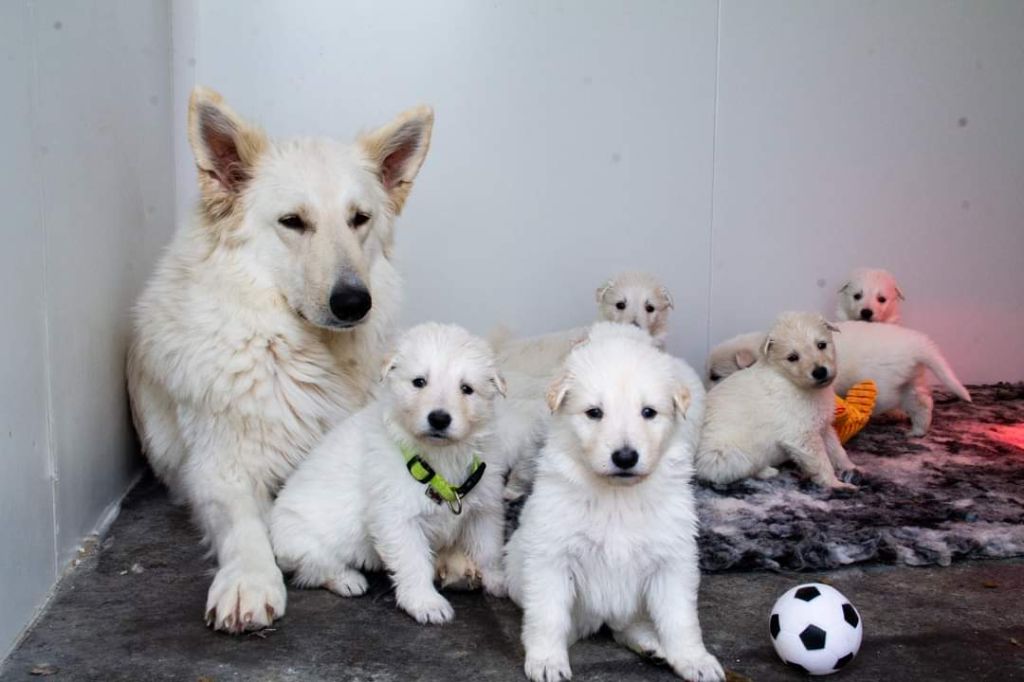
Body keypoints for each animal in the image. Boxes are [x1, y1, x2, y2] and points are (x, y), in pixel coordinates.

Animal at [128, 87, 432, 630]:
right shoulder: (219, 471)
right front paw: (250, 581)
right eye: (293, 222)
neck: (297, 351)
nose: (354, 303)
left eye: (359, 219)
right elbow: (247, 526)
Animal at [272, 321, 507, 622]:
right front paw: (425, 602)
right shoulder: (397, 518)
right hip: (302, 542)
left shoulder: (484, 509)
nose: (439, 419)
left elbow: (488, 548)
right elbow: (414, 563)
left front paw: (498, 580)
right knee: (314, 570)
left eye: (467, 389)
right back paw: (347, 580)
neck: (439, 458)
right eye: (419, 382)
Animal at [505, 323, 720, 679]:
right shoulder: (553, 556)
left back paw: (652, 646)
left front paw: (695, 660)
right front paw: (547, 660)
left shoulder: (672, 560)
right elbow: (548, 616)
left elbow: (681, 619)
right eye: (594, 413)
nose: (625, 457)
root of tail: (603, 619)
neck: (617, 496)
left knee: (629, 625)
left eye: (648, 412)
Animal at [696, 311, 856, 491]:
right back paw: (767, 471)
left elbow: (837, 450)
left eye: (821, 345)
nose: (820, 372)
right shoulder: (802, 435)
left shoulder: (823, 427)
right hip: (727, 456)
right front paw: (837, 484)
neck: (789, 379)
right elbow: (822, 463)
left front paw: (851, 467)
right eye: (792, 357)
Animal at [831, 319, 966, 436]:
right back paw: (918, 431)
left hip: (885, 388)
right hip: (911, 382)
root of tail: (916, 344)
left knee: (894, 404)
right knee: (923, 403)